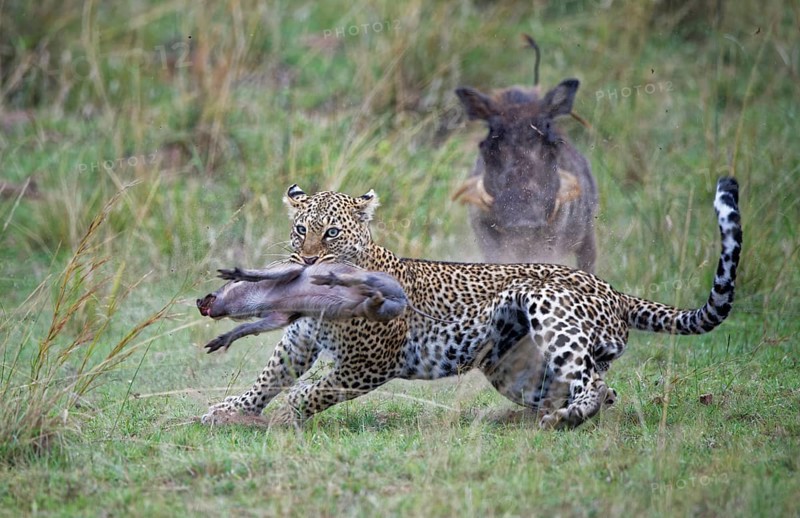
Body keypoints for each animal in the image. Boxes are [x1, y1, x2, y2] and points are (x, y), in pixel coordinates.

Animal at [202, 177, 741, 429]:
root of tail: (614, 289)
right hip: (511, 367)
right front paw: (225, 411)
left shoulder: (369, 362)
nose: (306, 259)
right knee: (595, 388)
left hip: (548, 305)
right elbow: (268, 379)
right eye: (300, 228)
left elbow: (310, 391)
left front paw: (284, 417)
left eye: (331, 232)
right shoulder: (299, 342)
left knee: (596, 384)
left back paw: (564, 421)